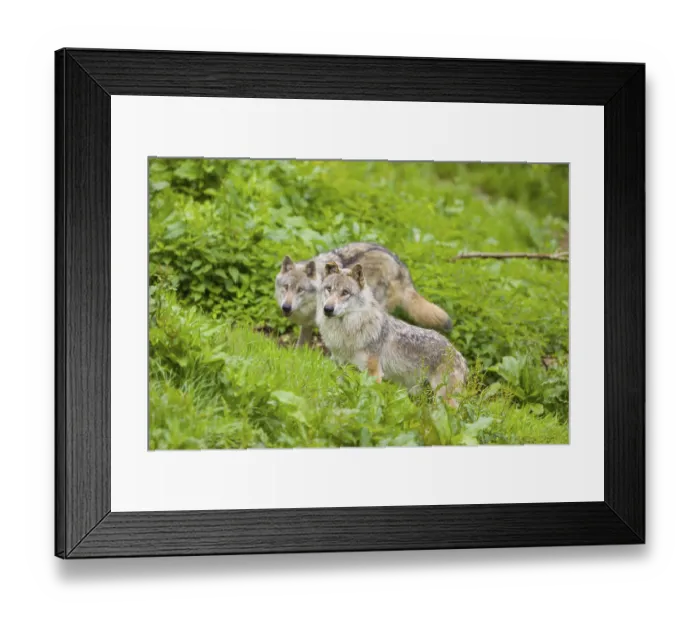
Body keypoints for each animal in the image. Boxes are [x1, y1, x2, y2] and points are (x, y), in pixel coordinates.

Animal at [275, 242, 452, 347]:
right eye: (286, 287)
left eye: (300, 290)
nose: (286, 307)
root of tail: (402, 268)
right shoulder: (307, 325)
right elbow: (301, 345)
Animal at [316, 261, 467, 406]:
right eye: (329, 289)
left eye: (345, 292)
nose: (327, 309)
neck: (348, 331)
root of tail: (458, 355)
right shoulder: (341, 370)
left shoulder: (373, 374)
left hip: (443, 399)